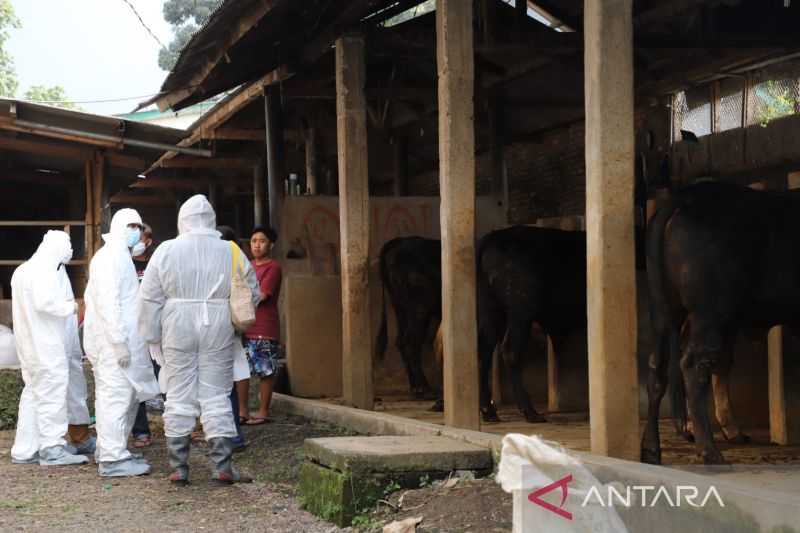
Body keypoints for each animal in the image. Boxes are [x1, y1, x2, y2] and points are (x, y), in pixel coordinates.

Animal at [376, 235, 440, 396]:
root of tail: (402, 240)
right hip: (420, 308)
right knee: (411, 343)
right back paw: (427, 389)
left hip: (399, 307)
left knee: (400, 341)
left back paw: (416, 388)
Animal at [640, 181, 800, 464]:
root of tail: (687, 196)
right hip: (710, 313)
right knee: (694, 365)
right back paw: (710, 452)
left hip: (663, 310)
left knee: (657, 366)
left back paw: (651, 450)